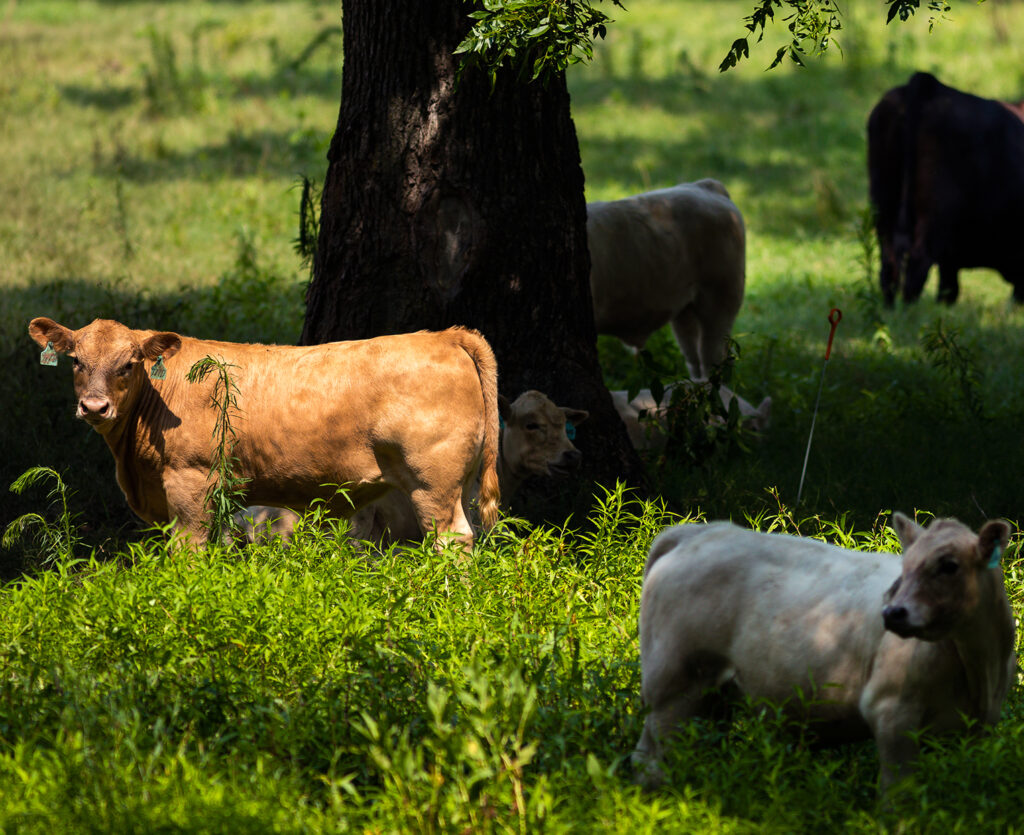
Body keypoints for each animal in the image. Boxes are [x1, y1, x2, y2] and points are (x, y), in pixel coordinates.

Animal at [29, 317, 500, 547]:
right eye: (76, 361)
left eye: (128, 364)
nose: (94, 407)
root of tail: (445, 336)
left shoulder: (190, 483)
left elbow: (189, 551)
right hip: (443, 486)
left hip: (433, 482)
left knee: (454, 540)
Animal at [634, 513, 1016, 795]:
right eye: (905, 566)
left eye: (950, 565)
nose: (893, 612)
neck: (979, 669)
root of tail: (699, 531)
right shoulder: (891, 711)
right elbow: (897, 798)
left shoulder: (977, 731)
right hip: (674, 685)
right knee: (652, 760)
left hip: (710, 697)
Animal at [867, 71, 1024, 305]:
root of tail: (931, 85)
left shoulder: (950, 259)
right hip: (935, 216)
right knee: (916, 268)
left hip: (884, 205)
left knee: (890, 268)